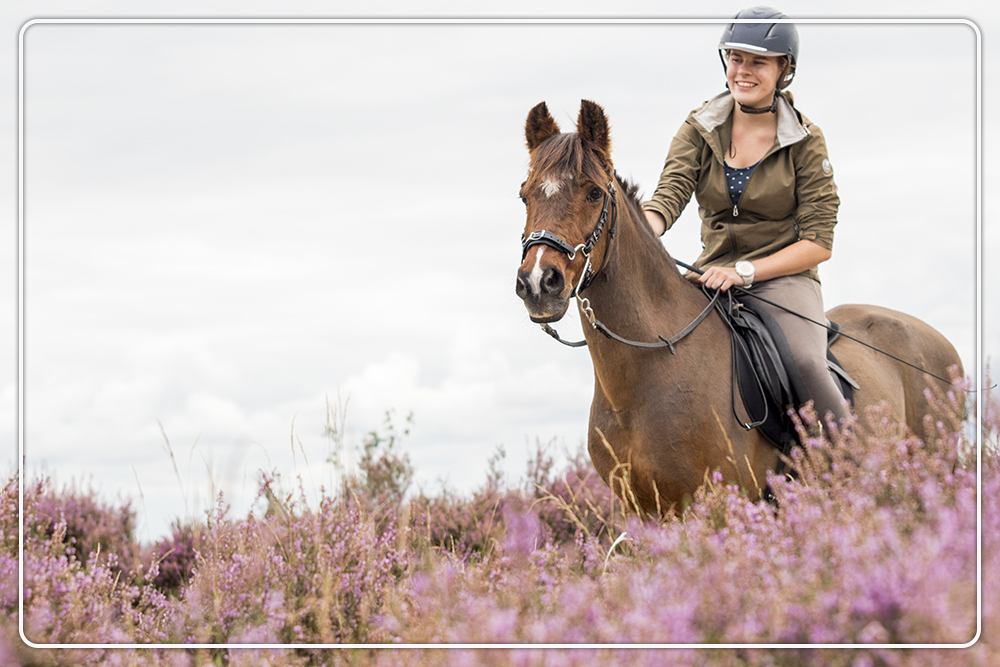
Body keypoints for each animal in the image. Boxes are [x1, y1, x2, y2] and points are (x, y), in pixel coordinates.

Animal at [516, 99, 960, 516]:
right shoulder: (644, 513)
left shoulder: (719, 504)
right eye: (524, 194)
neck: (647, 372)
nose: (538, 282)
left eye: (593, 192)